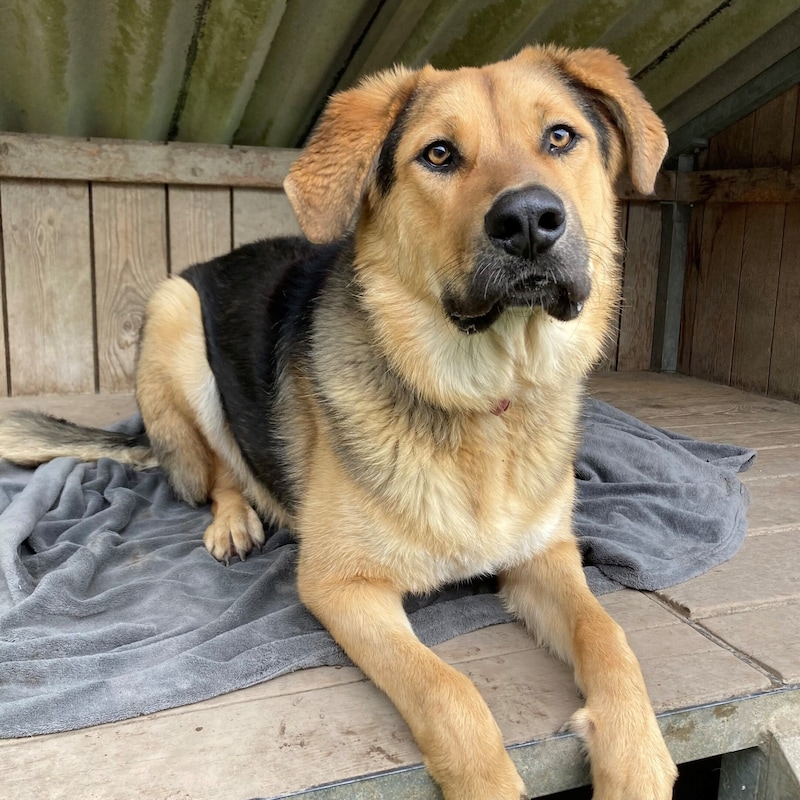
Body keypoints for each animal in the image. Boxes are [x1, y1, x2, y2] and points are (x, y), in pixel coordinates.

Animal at [0, 47, 676, 800]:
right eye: (439, 154)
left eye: (560, 137)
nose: (530, 221)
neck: (482, 398)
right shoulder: (341, 587)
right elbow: (448, 689)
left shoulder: (545, 557)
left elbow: (608, 638)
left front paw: (635, 755)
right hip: (175, 315)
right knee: (218, 471)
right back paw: (235, 520)